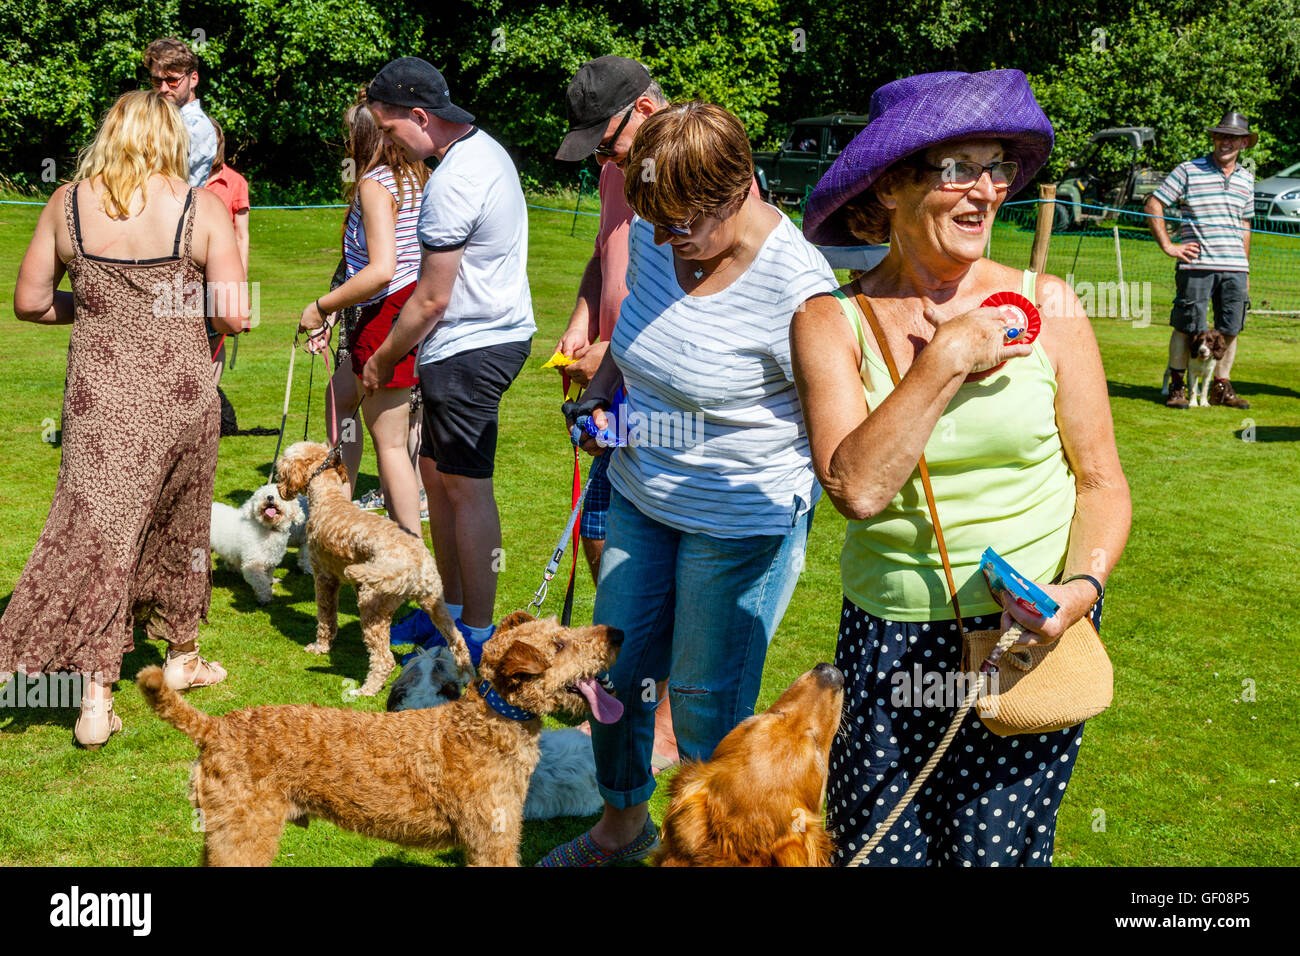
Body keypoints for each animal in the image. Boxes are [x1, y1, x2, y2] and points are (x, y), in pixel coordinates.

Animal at [137, 613, 624, 868]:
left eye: (563, 630)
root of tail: (213, 727)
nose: (616, 632)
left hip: (222, 834)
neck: (488, 723)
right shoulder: (492, 842)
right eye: (559, 644)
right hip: (243, 835)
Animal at [271, 442, 465, 697]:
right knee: (458, 640)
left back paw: (367, 689)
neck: (328, 499)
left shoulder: (324, 578)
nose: (278, 489)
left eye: (282, 468)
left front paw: (320, 647)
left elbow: (325, 618)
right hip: (435, 603)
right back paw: (466, 674)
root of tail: (415, 565)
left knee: (385, 659)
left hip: (372, 604)